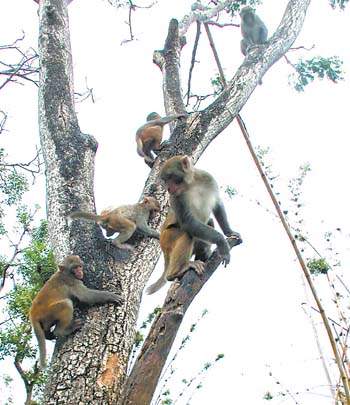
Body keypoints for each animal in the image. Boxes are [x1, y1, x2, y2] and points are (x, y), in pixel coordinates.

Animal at [146, 155, 242, 294]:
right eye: (165, 180)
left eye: (170, 177)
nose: (168, 188)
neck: (191, 184)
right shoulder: (175, 197)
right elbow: (188, 223)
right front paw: (222, 243)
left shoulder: (208, 178)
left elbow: (217, 204)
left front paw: (229, 232)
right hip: (167, 238)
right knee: (187, 234)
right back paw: (175, 273)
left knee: (209, 222)